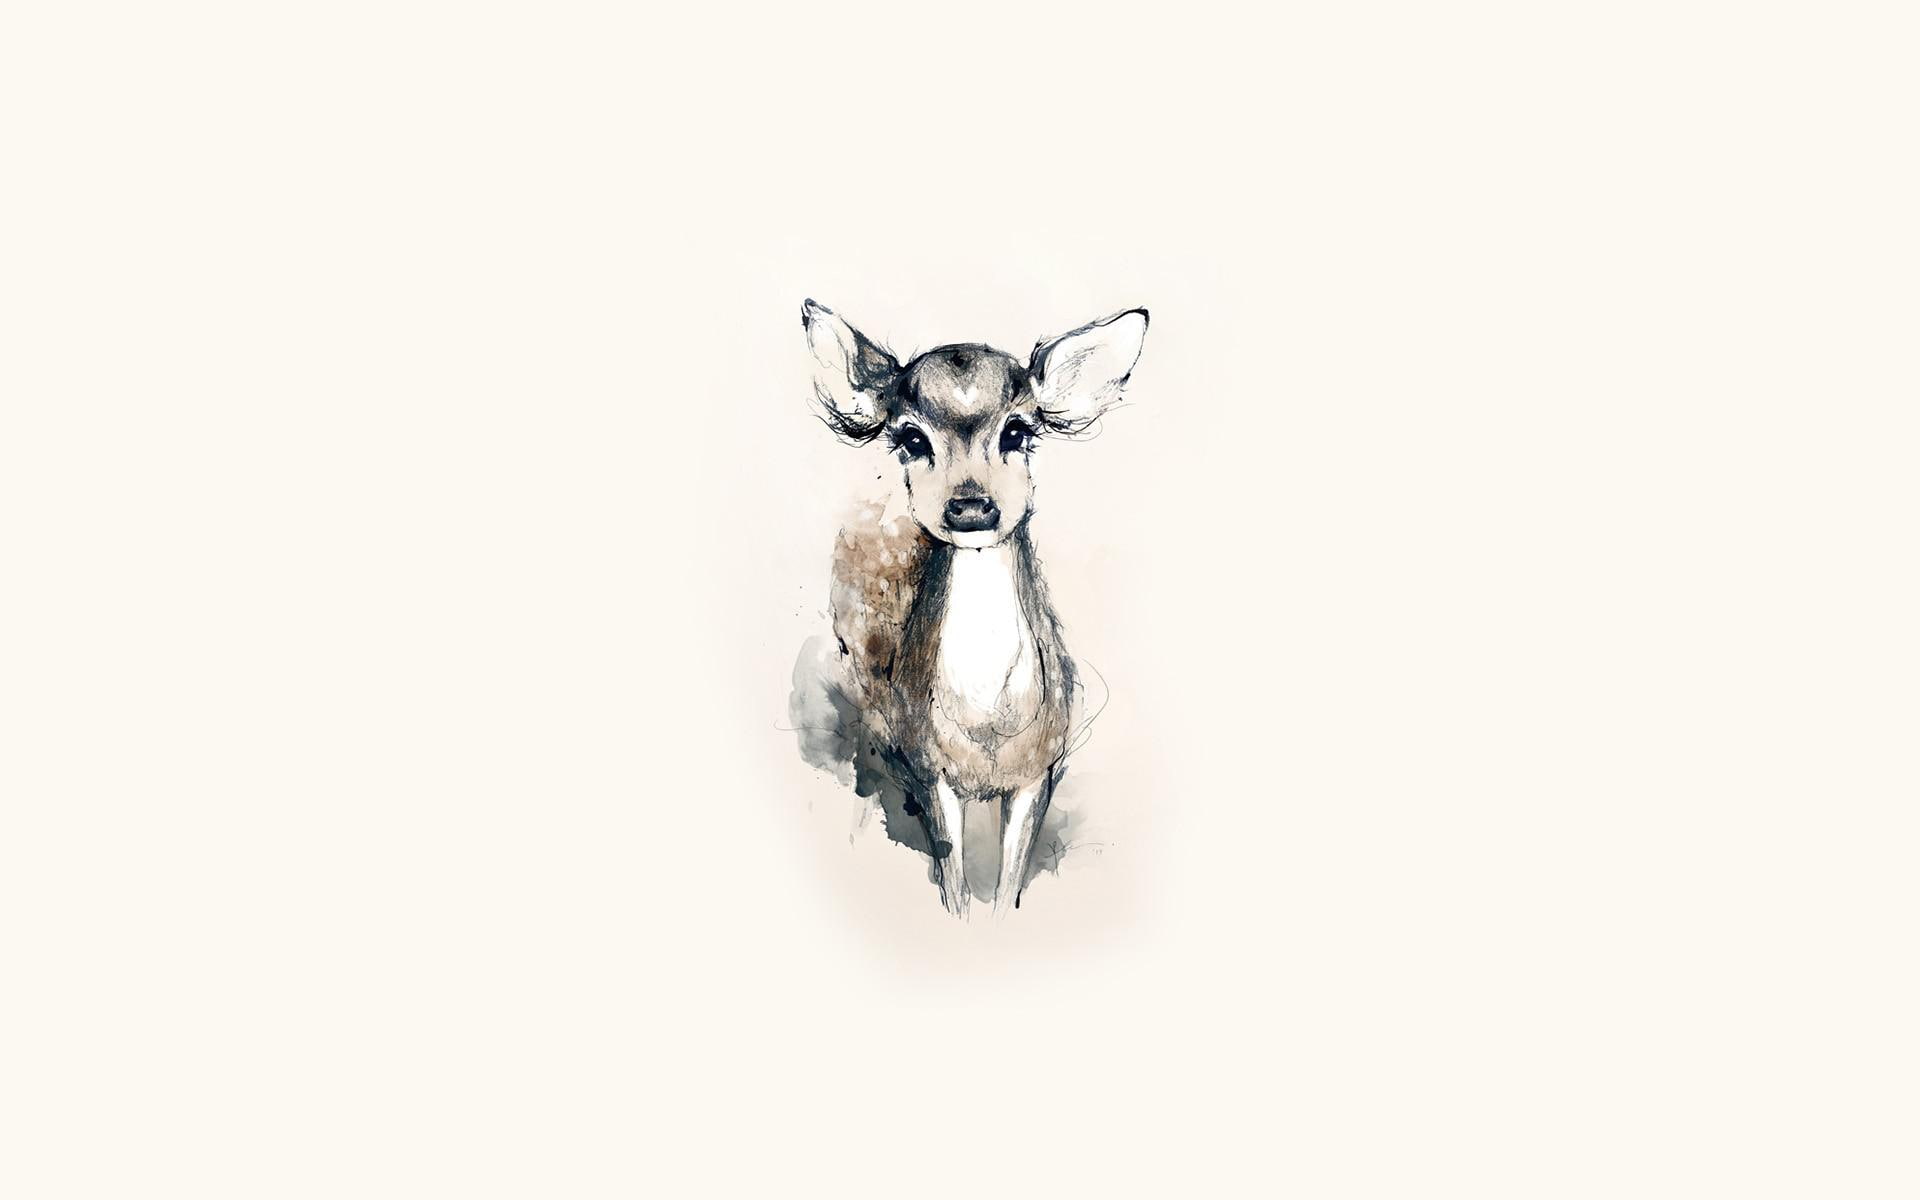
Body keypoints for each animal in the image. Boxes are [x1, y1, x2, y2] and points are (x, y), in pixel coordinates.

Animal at [798, 299, 1149, 917]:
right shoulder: (929, 770)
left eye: (1018, 429)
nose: (970, 508)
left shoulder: (1039, 770)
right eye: (911, 438)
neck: (987, 727)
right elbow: (955, 884)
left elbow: (1009, 884)